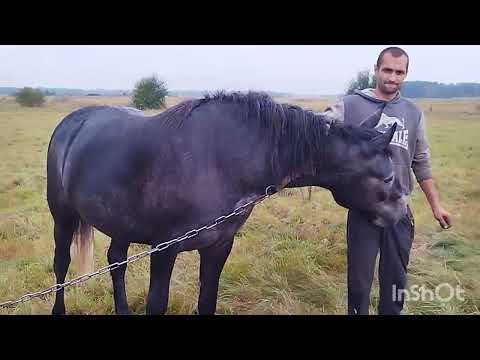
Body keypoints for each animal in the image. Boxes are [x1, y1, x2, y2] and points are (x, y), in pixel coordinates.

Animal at [46, 91, 404, 314]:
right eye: (387, 178)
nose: (400, 215)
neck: (221, 160)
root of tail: (71, 122)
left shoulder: (218, 246)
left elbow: (207, 301)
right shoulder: (164, 250)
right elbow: (156, 304)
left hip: (120, 224)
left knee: (115, 261)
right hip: (63, 218)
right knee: (61, 265)